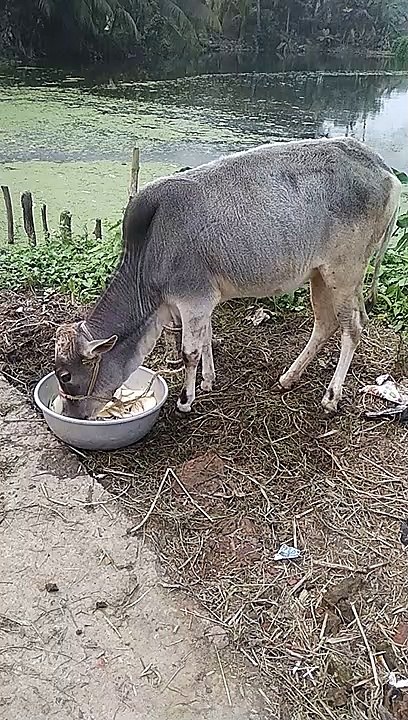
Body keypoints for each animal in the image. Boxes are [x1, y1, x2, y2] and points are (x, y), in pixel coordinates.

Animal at [54, 137, 401, 420]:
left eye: (67, 376)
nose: (73, 414)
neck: (149, 250)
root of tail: (385, 170)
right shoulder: (201, 301)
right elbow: (206, 338)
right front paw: (208, 380)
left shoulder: (192, 299)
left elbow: (189, 352)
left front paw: (186, 399)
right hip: (320, 274)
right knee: (325, 324)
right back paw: (288, 378)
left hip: (344, 272)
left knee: (352, 328)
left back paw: (331, 396)